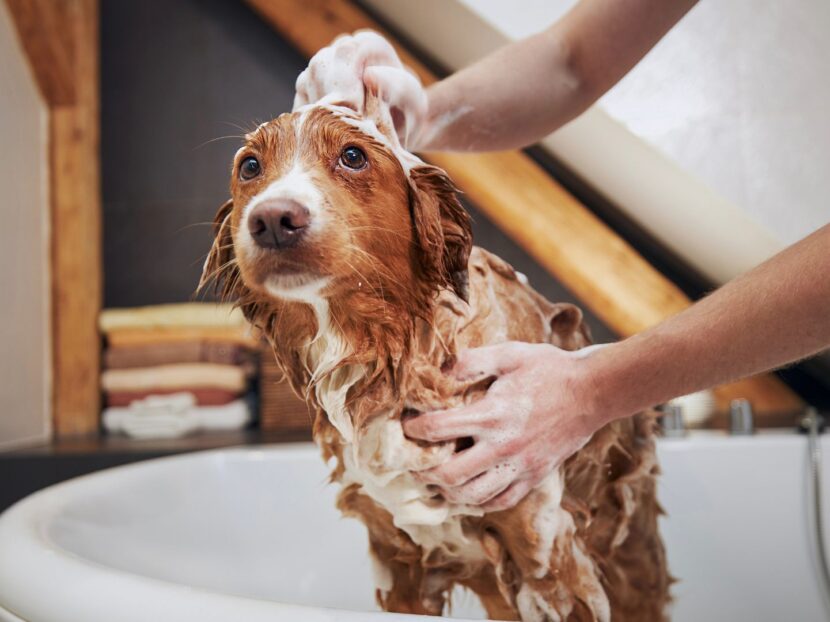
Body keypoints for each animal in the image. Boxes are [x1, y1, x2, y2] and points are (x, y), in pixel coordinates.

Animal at [203, 95, 676, 620]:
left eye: (352, 156)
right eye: (249, 167)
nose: (272, 220)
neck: (388, 356)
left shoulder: (545, 555)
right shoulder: (399, 561)